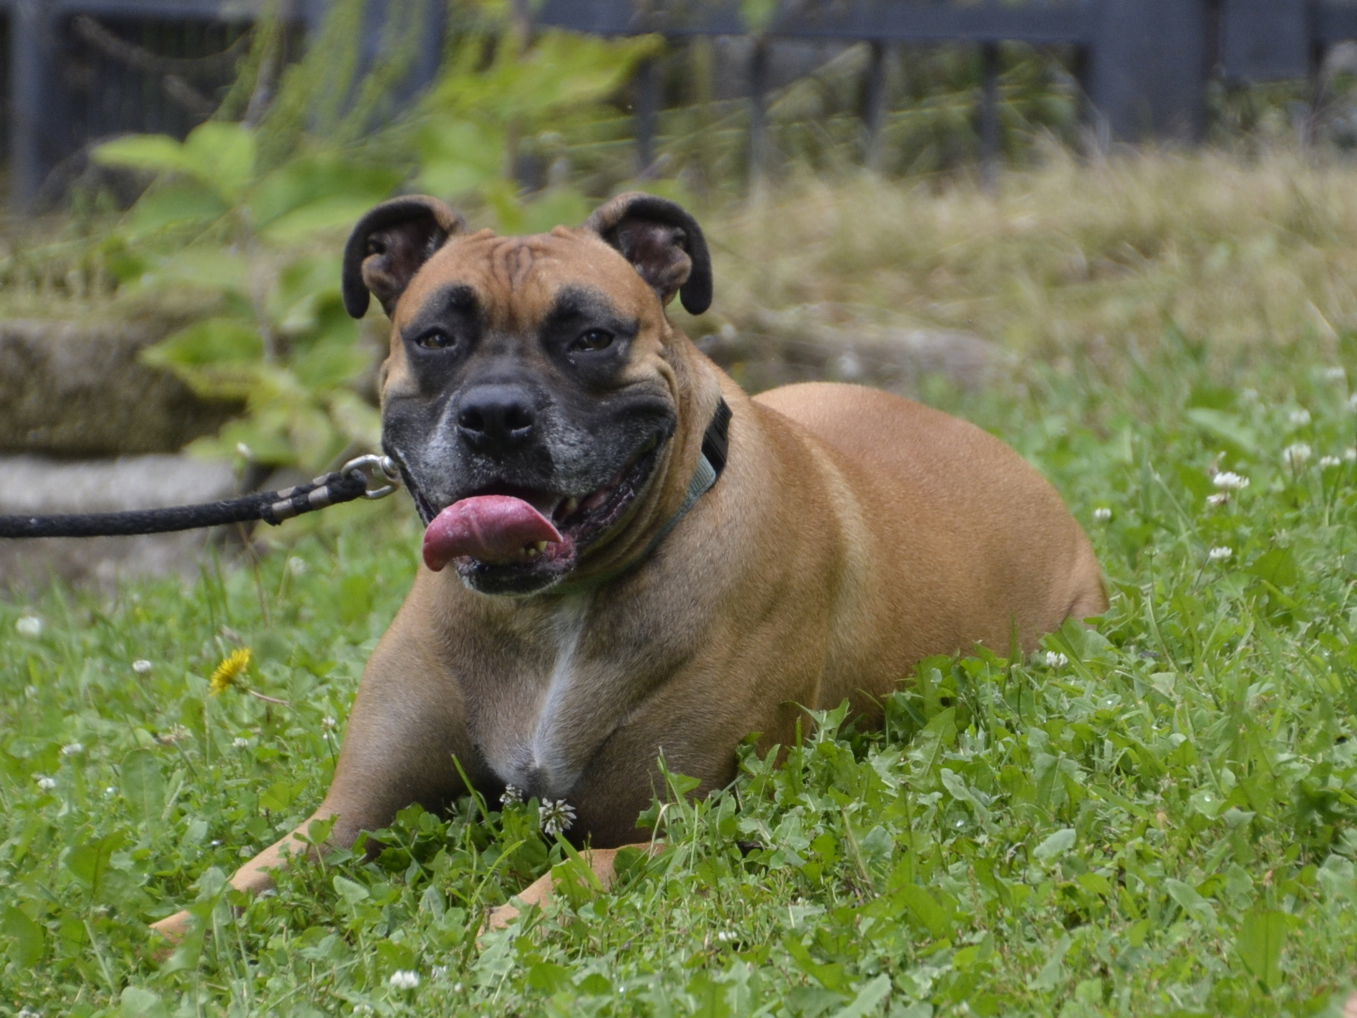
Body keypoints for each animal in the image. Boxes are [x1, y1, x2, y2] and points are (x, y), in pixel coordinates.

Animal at [151, 191, 1101, 939]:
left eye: (591, 337)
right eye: (435, 337)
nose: (495, 415)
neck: (552, 613)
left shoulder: (695, 823)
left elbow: (579, 869)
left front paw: (505, 922)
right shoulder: (351, 815)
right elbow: (240, 882)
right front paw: (160, 936)